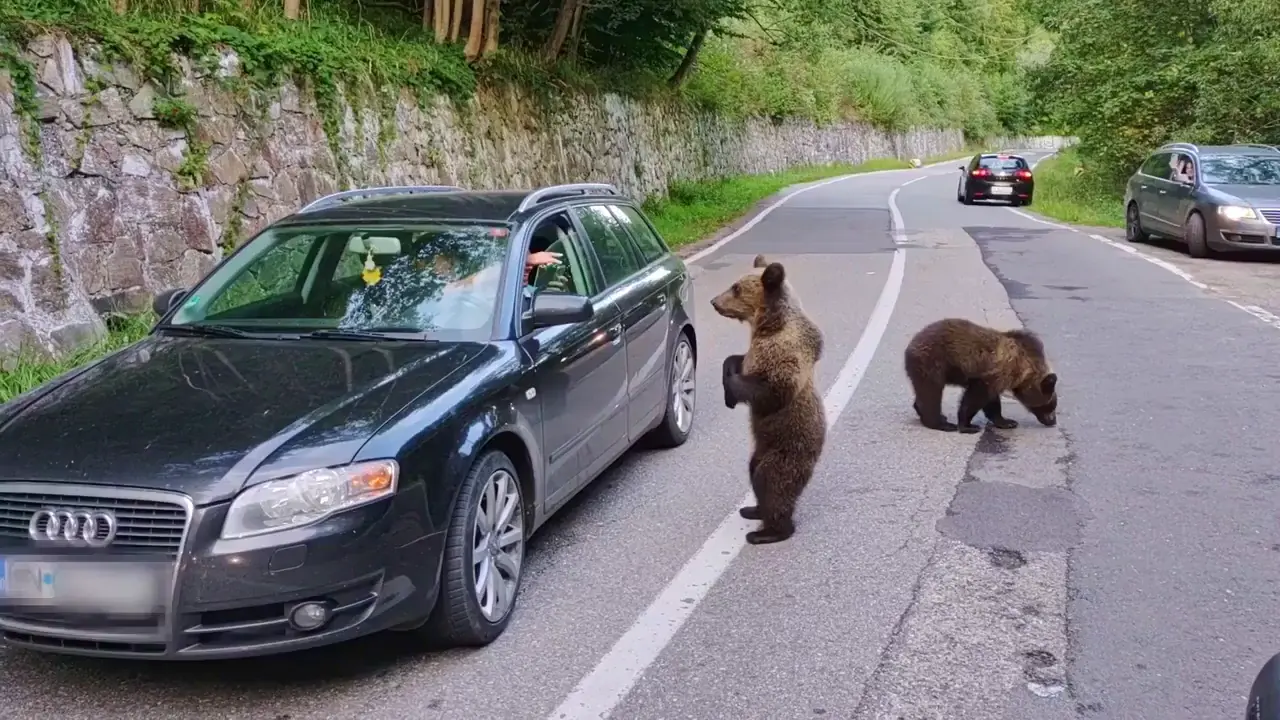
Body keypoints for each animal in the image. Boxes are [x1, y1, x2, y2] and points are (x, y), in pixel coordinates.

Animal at [710, 254, 827, 545]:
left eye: (736, 287)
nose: (714, 301)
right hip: (761, 449)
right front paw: (727, 377)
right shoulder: (755, 350)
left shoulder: (785, 352)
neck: (767, 324)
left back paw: (767, 532)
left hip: (785, 450)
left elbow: (772, 389)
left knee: (772, 482)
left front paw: (732, 387)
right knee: (753, 471)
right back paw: (753, 509)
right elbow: (736, 359)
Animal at [903, 317, 1058, 434]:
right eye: (1051, 405)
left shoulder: (995, 378)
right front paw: (968, 425)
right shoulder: (993, 374)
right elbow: (975, 398)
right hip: (933, 362)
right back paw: (941, 423)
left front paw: (1006, 422)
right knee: (931, 392)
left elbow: (991, 402)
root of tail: (911, 345)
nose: (1053, 421)